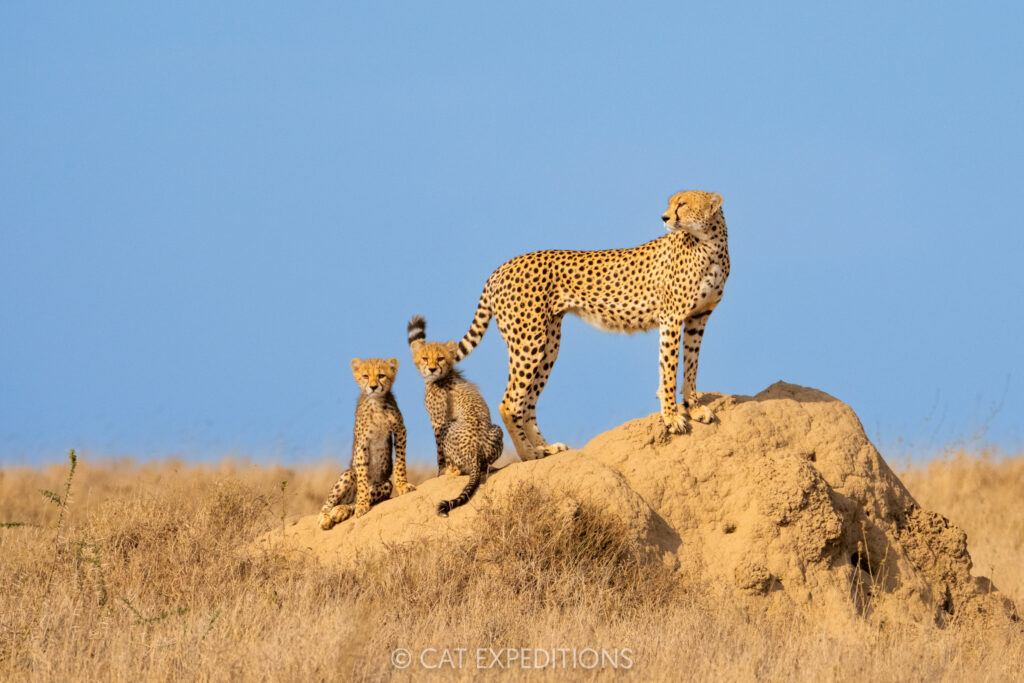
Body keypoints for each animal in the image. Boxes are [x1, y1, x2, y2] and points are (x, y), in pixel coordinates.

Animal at [317, 357, 415, 530]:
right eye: (365, 376)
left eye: (381, 375)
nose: (373, 386)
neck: (375, 402)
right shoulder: (362, 444)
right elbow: (362, 478)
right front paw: (363, 504)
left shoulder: (400, 431)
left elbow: (400, 463)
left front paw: (403, 485)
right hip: (349, 474)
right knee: (326, 506)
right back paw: (327, 518)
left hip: (386, 484)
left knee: (353, 502)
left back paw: (341, 510)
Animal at [407, 315, 503, 517]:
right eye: (425, 358)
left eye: (440, 358)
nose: (432, 369)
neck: (445, 375)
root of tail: (475, 453)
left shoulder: (438, 422)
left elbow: (439, 454)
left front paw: (441, 473)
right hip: (497, 430)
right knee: (486, 466)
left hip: (447, 428)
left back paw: (453, 471)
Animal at [449, 190, 729, 461]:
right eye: (671, 204)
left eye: (682, 204)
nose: (665, 217)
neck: (709, 244)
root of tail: (502, 266)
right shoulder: (671, 318)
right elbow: (669, 369)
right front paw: (672, 417)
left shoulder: (697, 318)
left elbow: (691, 366)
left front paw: (694, 408)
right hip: (529, 342)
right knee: (509, 403)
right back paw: (529, 453)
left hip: (548, 344)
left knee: (527, 403)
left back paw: (546, 448)